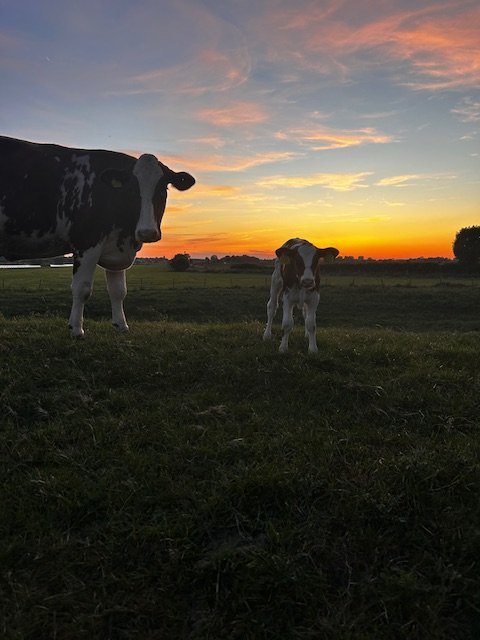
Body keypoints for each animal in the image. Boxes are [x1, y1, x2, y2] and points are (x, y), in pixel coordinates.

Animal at [0, 136, 195, 337]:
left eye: (163, 190)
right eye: (132, 190)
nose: (147, 231)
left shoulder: (117, 246)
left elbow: (119, 290)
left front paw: (121, 325)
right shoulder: (86, 242)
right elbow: (82, 288)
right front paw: (76, 329)